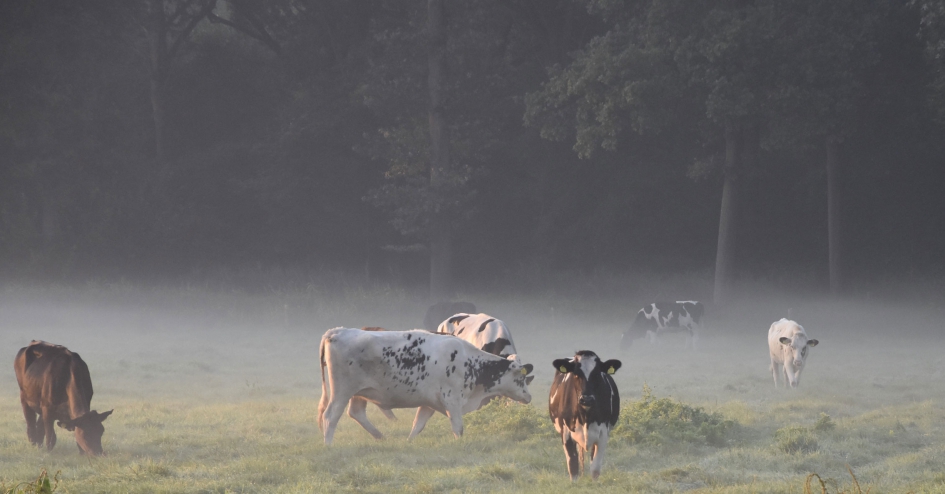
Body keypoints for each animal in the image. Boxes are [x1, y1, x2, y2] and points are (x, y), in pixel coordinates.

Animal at [317, 328, 533, 444]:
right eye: (521, 379)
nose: (529, 397)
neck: (470, 362)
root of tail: (338, 331)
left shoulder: (429, 403)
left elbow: (418, 425)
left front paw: (408, 442)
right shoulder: (453, 400)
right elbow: (458, 428)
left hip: (359, 393)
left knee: (356, 413)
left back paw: (380, 436)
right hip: (342, 391)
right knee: (330, 416)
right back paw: (328, 445)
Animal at [549, 350, 621, 481]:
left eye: (597, 374)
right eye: (576, 374)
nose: (586, 399)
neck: (586, 417)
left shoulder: (603, 434)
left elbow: (595, 469)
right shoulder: (566, 432)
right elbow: (573, 466)